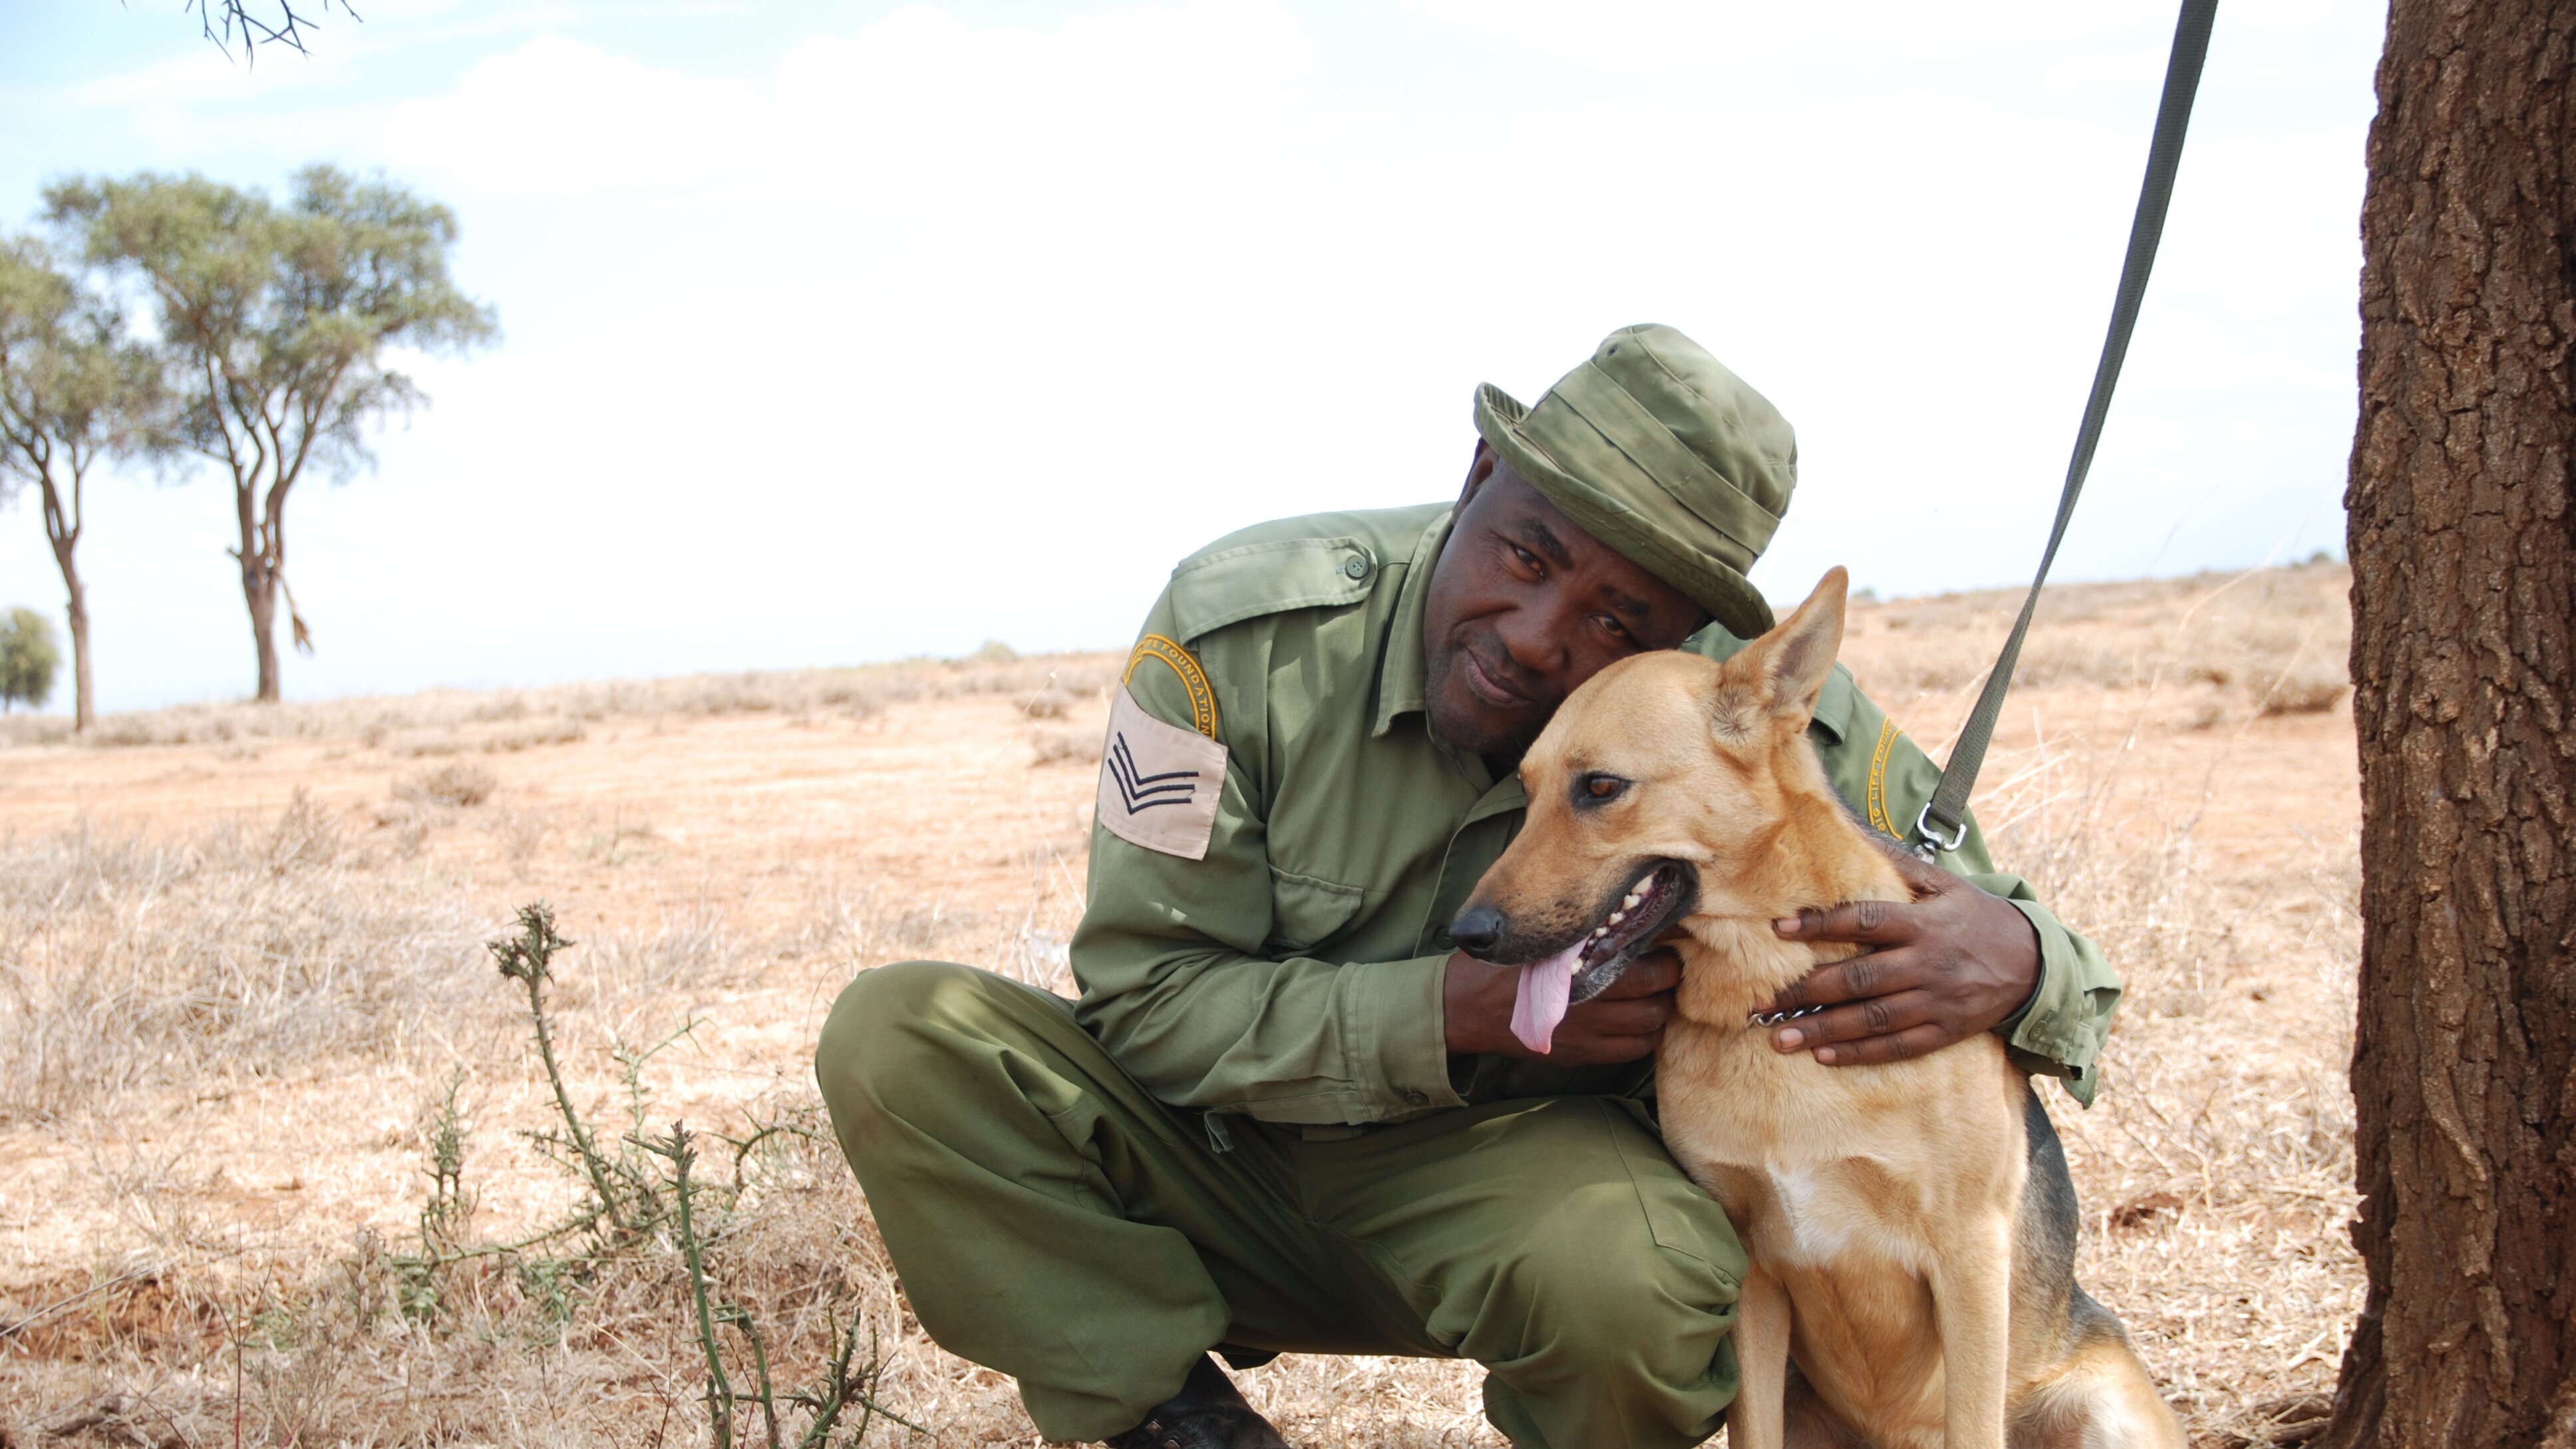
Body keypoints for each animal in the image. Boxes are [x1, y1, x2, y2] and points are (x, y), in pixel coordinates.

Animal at [1452, 564, 2174, 1444]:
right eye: (1524, 792)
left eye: (1600, 787)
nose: (1466, 934)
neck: (1772, 1007)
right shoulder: (1753, 1277)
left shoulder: (1968, 1260)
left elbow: (1973, 1417)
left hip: (2095, 1408)